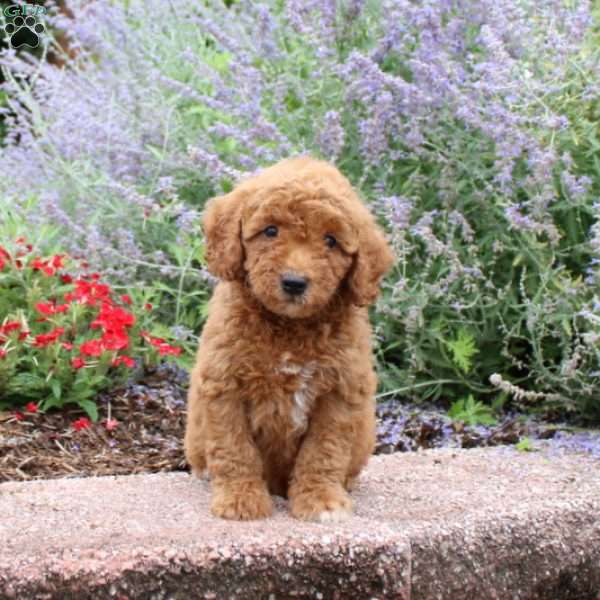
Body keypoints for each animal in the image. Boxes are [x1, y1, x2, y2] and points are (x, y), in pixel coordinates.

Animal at [185, 156, 396, 520]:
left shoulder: (340, 392)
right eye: (271, 230)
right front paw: (240, 499)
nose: (295, 283)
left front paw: (321, 499)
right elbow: (234, 447)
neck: (289, 328)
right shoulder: (223, 384)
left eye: (331, 241)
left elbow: (323, 451)